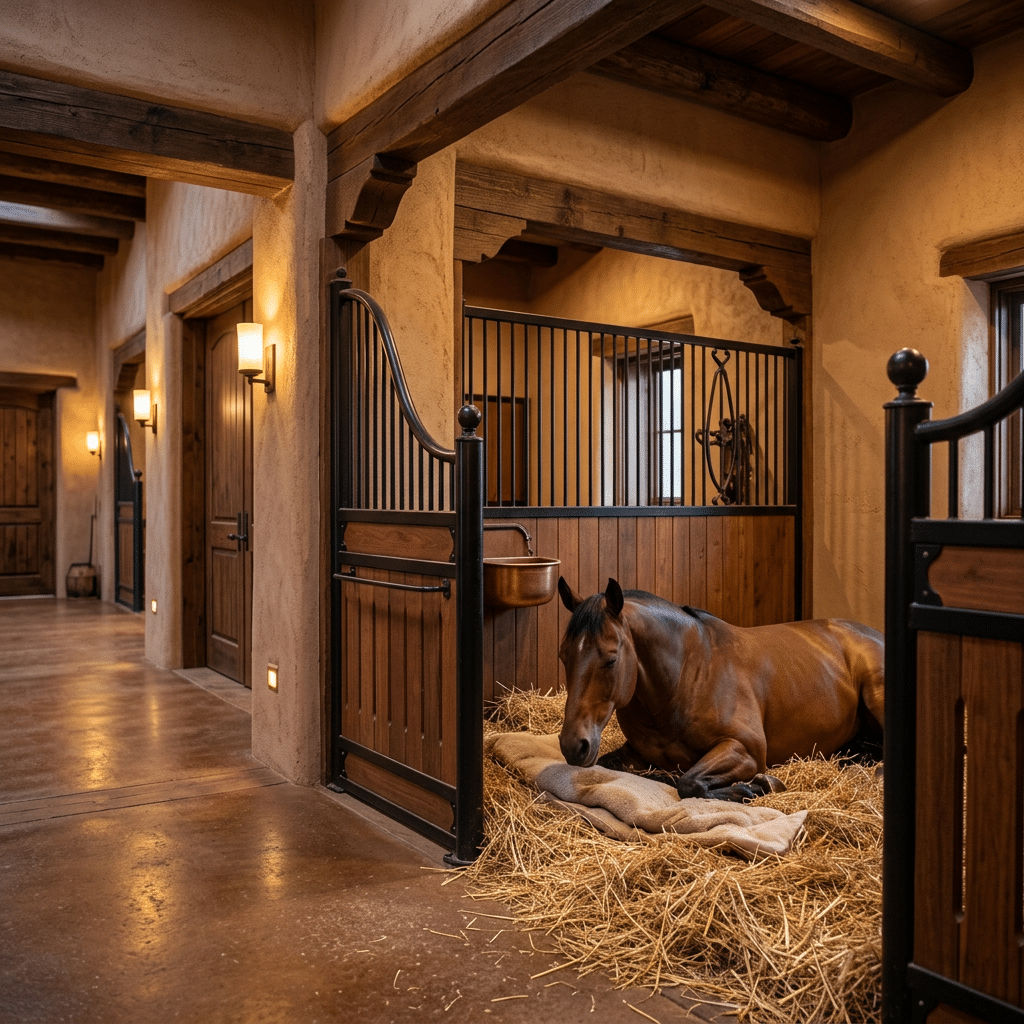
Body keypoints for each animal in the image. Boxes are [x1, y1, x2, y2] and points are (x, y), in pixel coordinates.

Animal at [557, 577, 885, 802]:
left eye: (611, 658)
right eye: (563, 656)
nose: (573, 745)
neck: (686, 680)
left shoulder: (746, 748)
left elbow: (688, 782)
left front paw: (756, 786)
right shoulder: (633, 750)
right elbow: (611, 765)